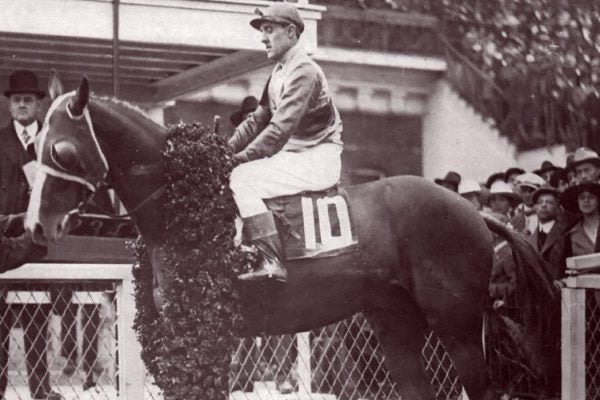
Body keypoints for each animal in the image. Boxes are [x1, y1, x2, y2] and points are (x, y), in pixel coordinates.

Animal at [25, 76, 556, 400]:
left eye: (63, 150)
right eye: (33, 146)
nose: (34, 227)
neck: (182, 205)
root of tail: (473, 211)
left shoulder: (206, 333)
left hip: (457, 325)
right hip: (396, 323)